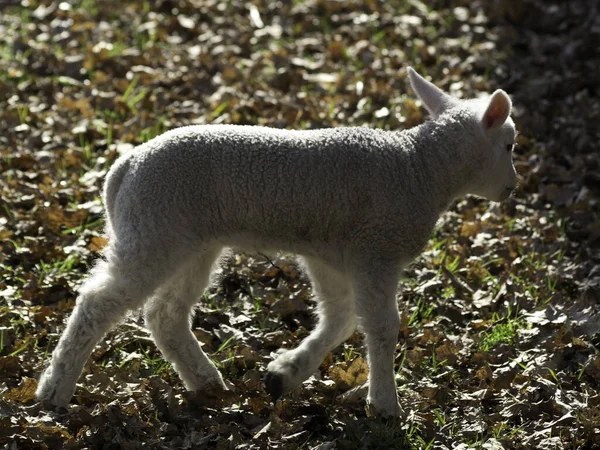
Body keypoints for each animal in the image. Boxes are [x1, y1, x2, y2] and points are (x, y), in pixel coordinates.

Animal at [36, 68, 516, 416]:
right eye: (511, 146)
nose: (512, 188)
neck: (421, 170)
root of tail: (123, 169)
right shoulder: (376, 249)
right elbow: (381, 326)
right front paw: (385, 406)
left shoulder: (332, 254)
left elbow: (341, 318)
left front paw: (284, 373)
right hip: (154, 228)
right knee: (99, 303)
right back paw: (54, 390)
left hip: (186, 239)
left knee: (164, 314)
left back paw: (206, 381)